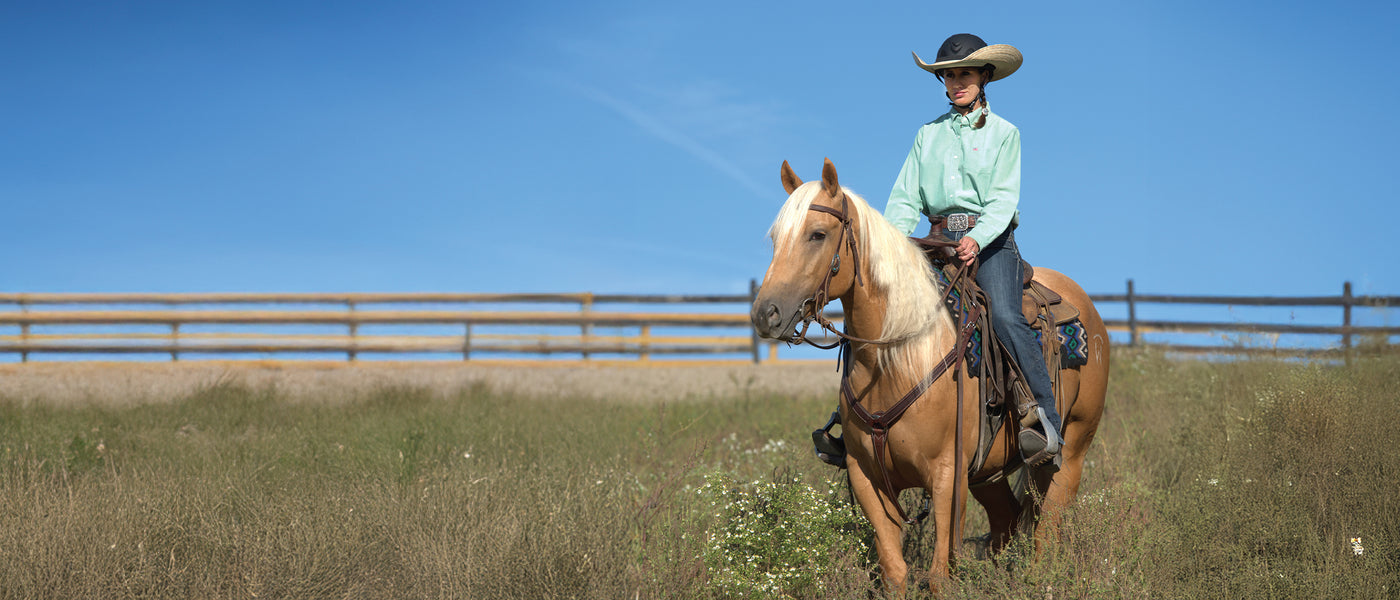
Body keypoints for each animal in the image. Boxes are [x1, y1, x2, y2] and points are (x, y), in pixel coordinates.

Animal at [750, 158, 1110, 593]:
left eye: (817, 234)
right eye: (775, 238)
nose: (766, 313)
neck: (899, 359)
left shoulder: (947, 476)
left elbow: (940, 576)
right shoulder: (867, 477)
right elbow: (895, 572)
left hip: (1071, 451)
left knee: (1047, 530)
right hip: (987, 474)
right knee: (1007, 521)